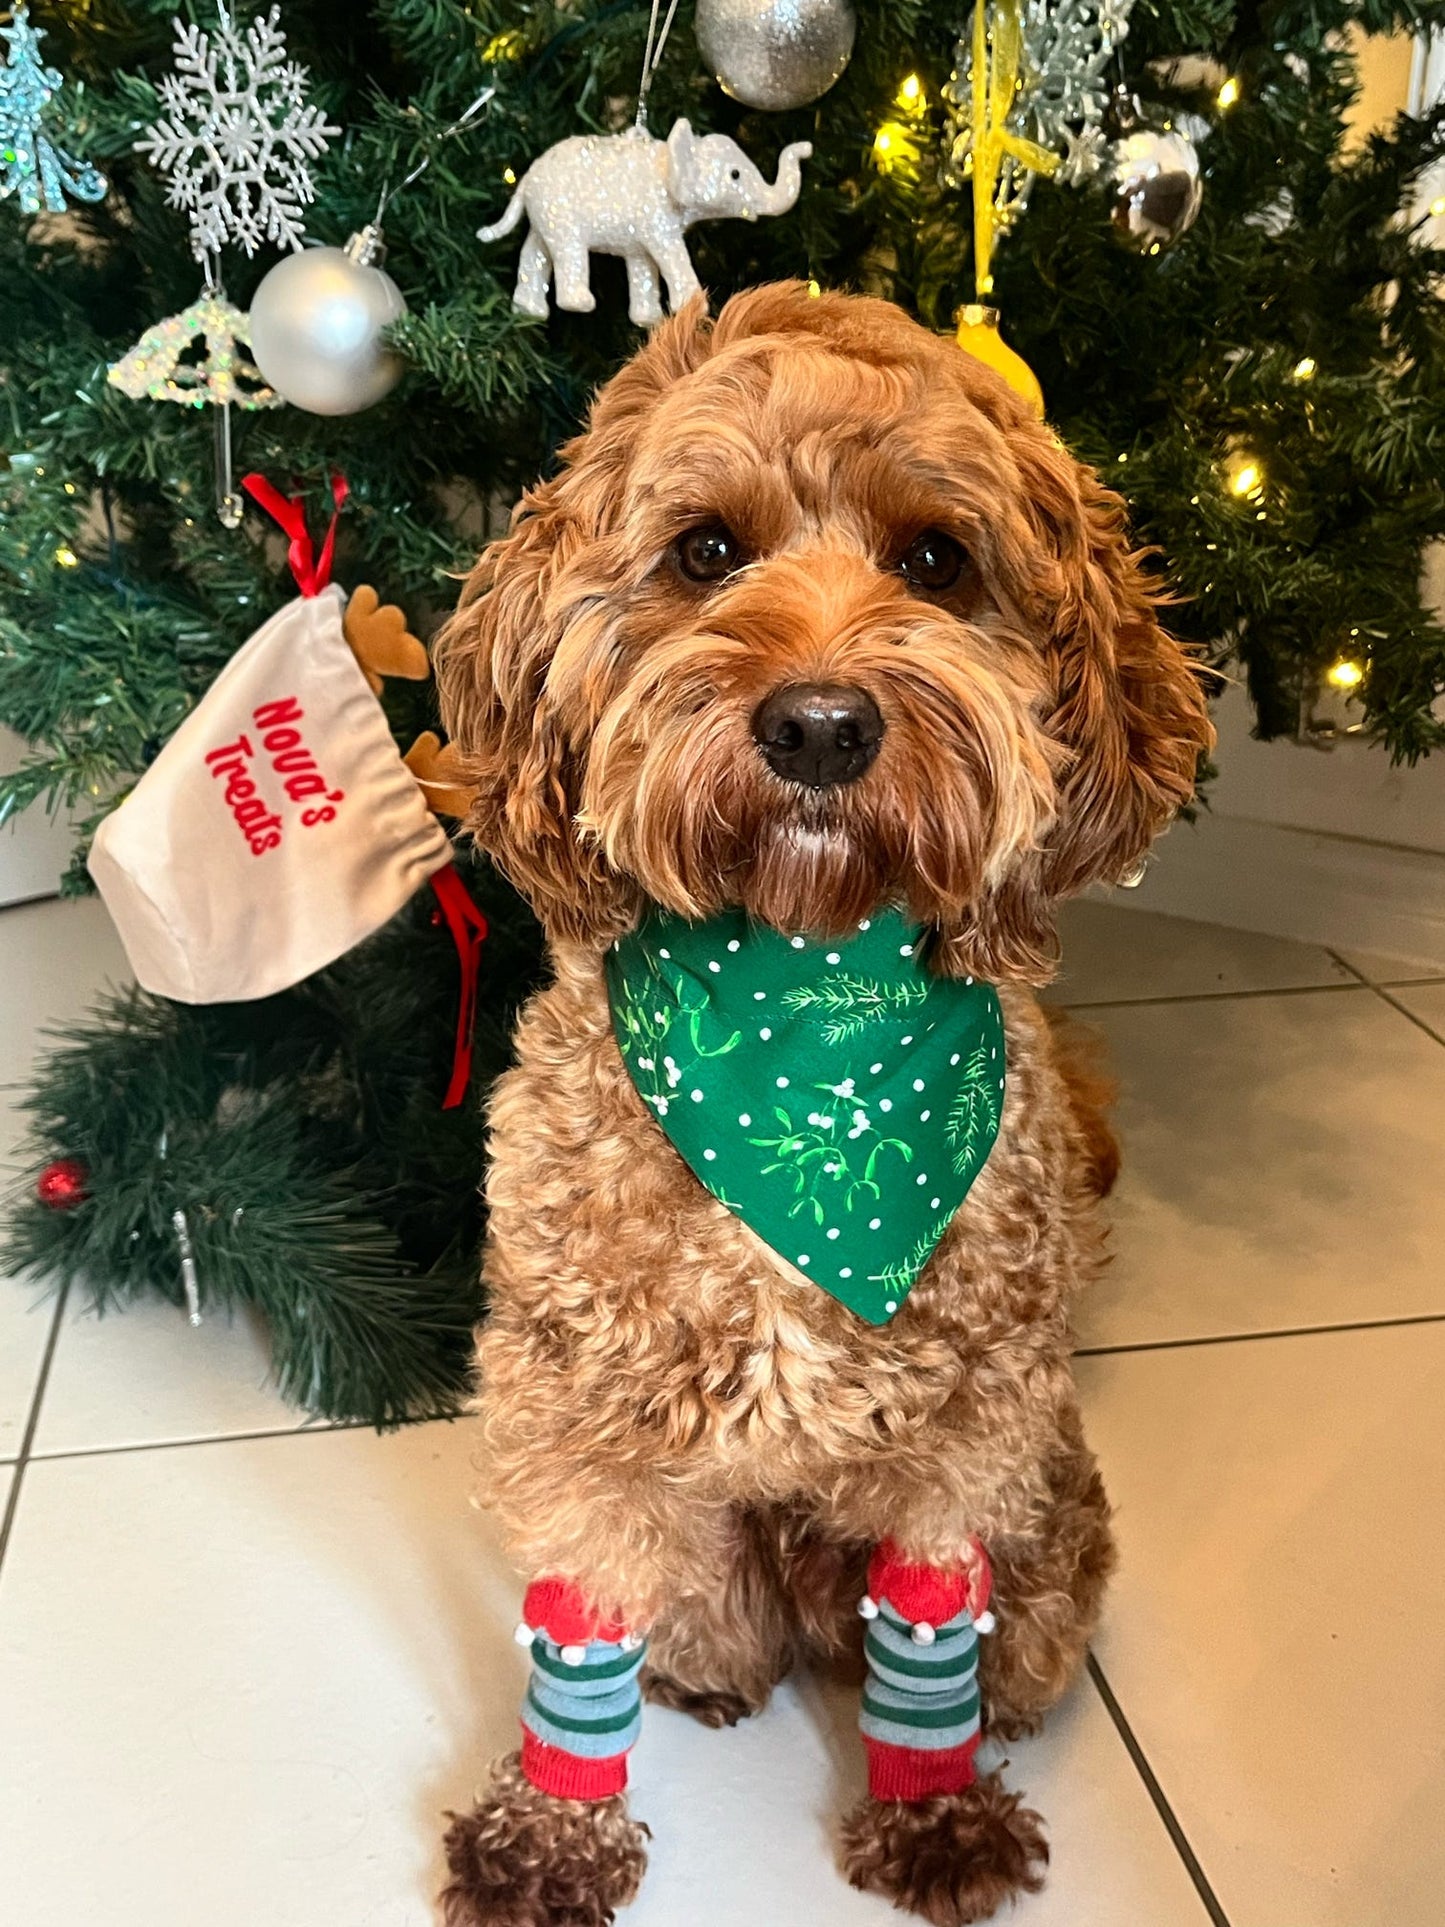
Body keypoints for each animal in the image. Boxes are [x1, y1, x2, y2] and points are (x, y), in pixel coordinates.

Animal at [427, 275, 1209, 1927]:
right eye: (704, 550)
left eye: (937, 559)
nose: (821, 725)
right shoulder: (574, 1413)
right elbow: (578, 1622)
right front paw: (551, 1829)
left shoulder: (964, 1430)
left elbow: (929, 1630)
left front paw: (931, 1810)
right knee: (698, 1618)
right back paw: (712, 1671)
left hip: (1054, 1541)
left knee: (993, 1647)